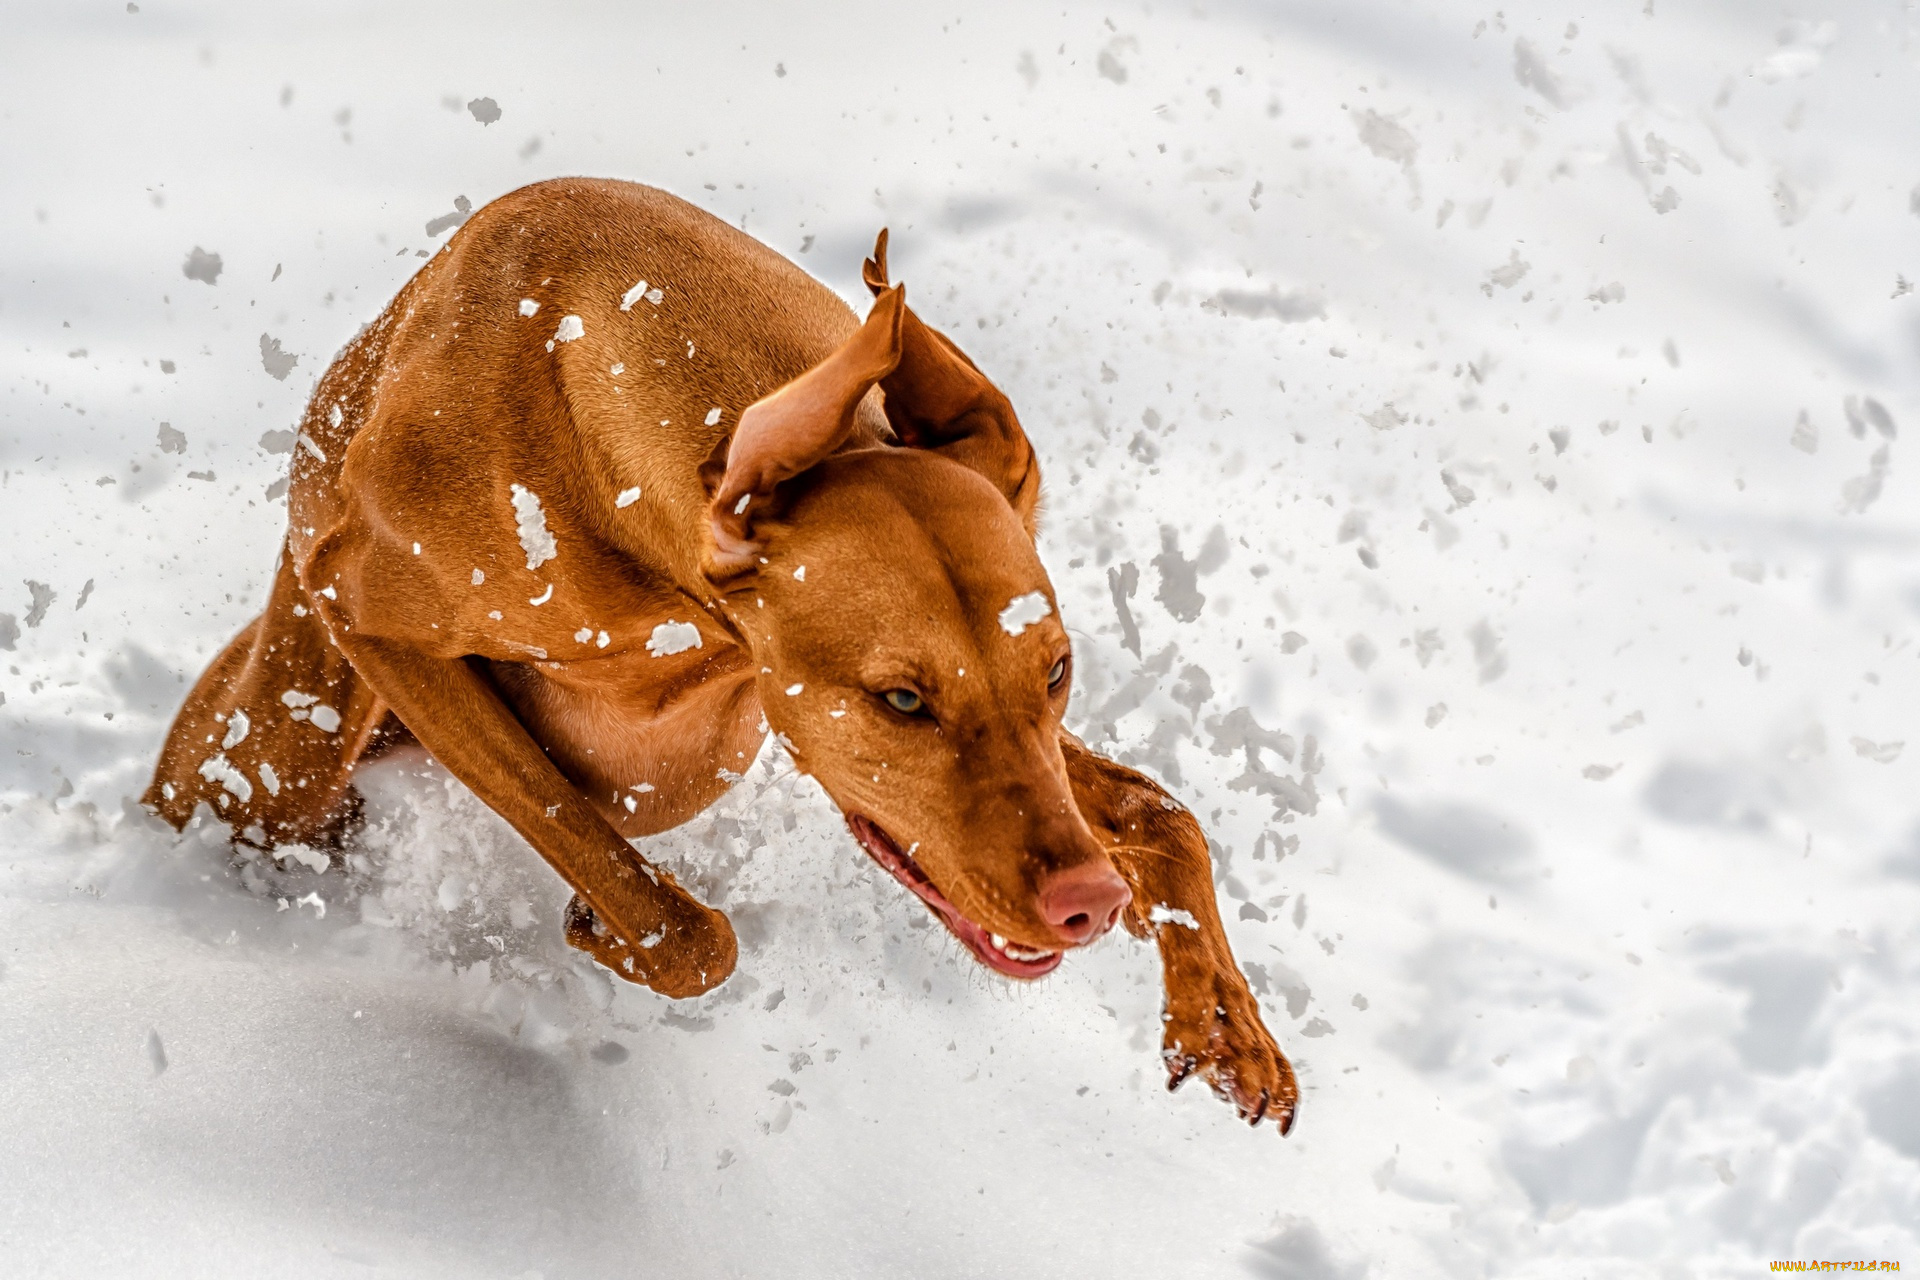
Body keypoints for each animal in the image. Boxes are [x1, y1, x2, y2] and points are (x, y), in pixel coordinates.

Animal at [142, 177, 1297, 1128]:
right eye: (902, 700)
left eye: (1056, 670)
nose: (1088, 903)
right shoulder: (373, 620)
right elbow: (655, 902)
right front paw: (609, 925)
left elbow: (1160, 807)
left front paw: (1226, 1026)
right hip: (275, 759)